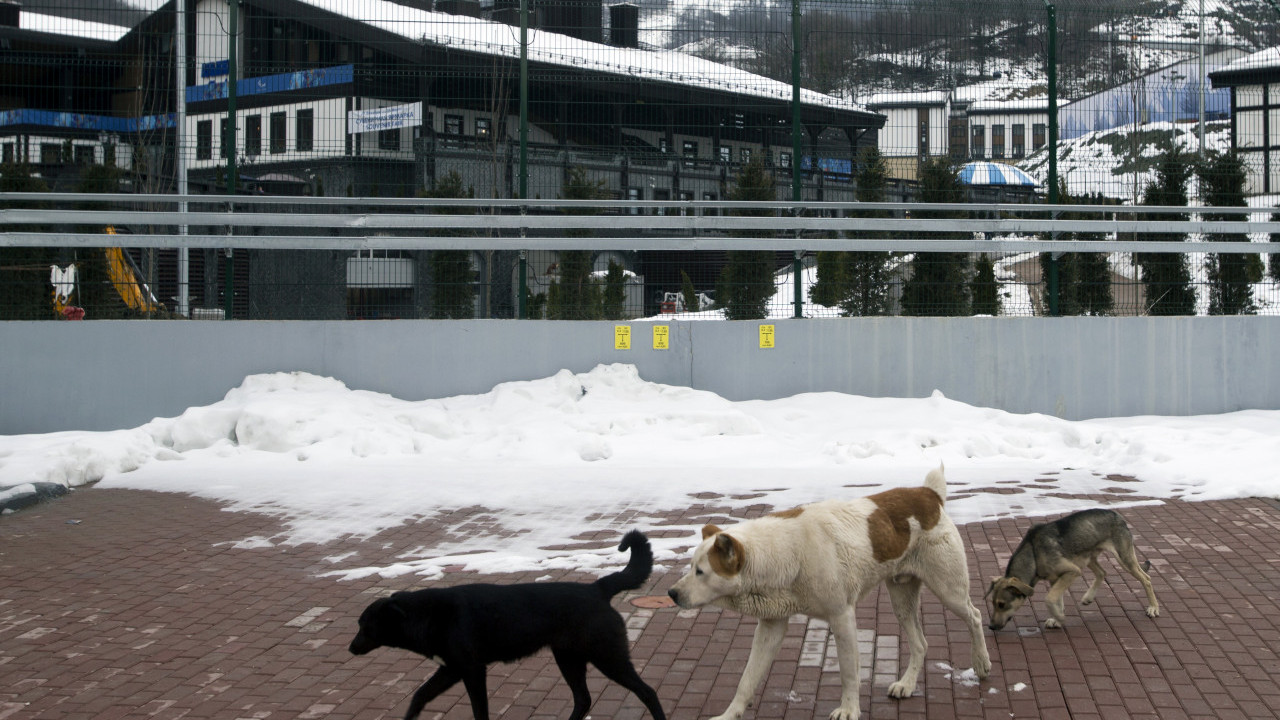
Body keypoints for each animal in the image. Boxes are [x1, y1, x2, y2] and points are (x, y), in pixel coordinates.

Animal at [350, 527, 670, 717]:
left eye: (365, 626)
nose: (351, 648)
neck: (429, 615)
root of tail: (597, 588)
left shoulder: (471, 670)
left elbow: (479, 710)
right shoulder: (451, 669)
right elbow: (419, 696)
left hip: (607, 657)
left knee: (647, 692)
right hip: (569, 658)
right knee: (583, 699)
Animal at [670, 466, 988, 717]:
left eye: (701, 572)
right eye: (691, 566)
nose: (672, 593)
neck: (785, 552)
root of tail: (927, 493)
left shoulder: (842, 617)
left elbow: (848, 673)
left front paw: (849, 710)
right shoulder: (770, 627)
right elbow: (746, 679)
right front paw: (729, 714)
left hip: (949, 589)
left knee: (975, 616)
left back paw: (981, 663)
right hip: (902, 599)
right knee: (921, 643)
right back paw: (907, 685)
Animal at [988, 504, 1162, 627]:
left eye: (1001, 604)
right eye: (992, 604)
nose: (990, 627)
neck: (1033, 554)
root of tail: (1118, 515)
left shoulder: (1073, 571)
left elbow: (1049, 598)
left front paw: (1059, 617)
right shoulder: (1057, 578)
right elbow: (1057, 599)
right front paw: (1057, 618)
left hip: (1123, 559)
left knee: (1146, 579)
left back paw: (1153, 607)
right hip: (1089, 557)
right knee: (1102, 573)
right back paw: (1088, 597)